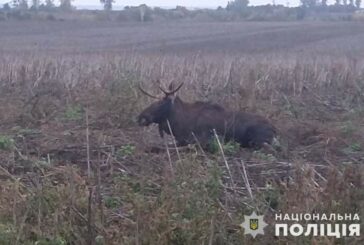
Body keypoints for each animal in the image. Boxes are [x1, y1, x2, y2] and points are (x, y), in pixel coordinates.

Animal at [136, 82, 276, 149]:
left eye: (160, 103)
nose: (140, 117)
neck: (179, 125)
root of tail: (275, 129)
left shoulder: (203, 140)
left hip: (257, 140)